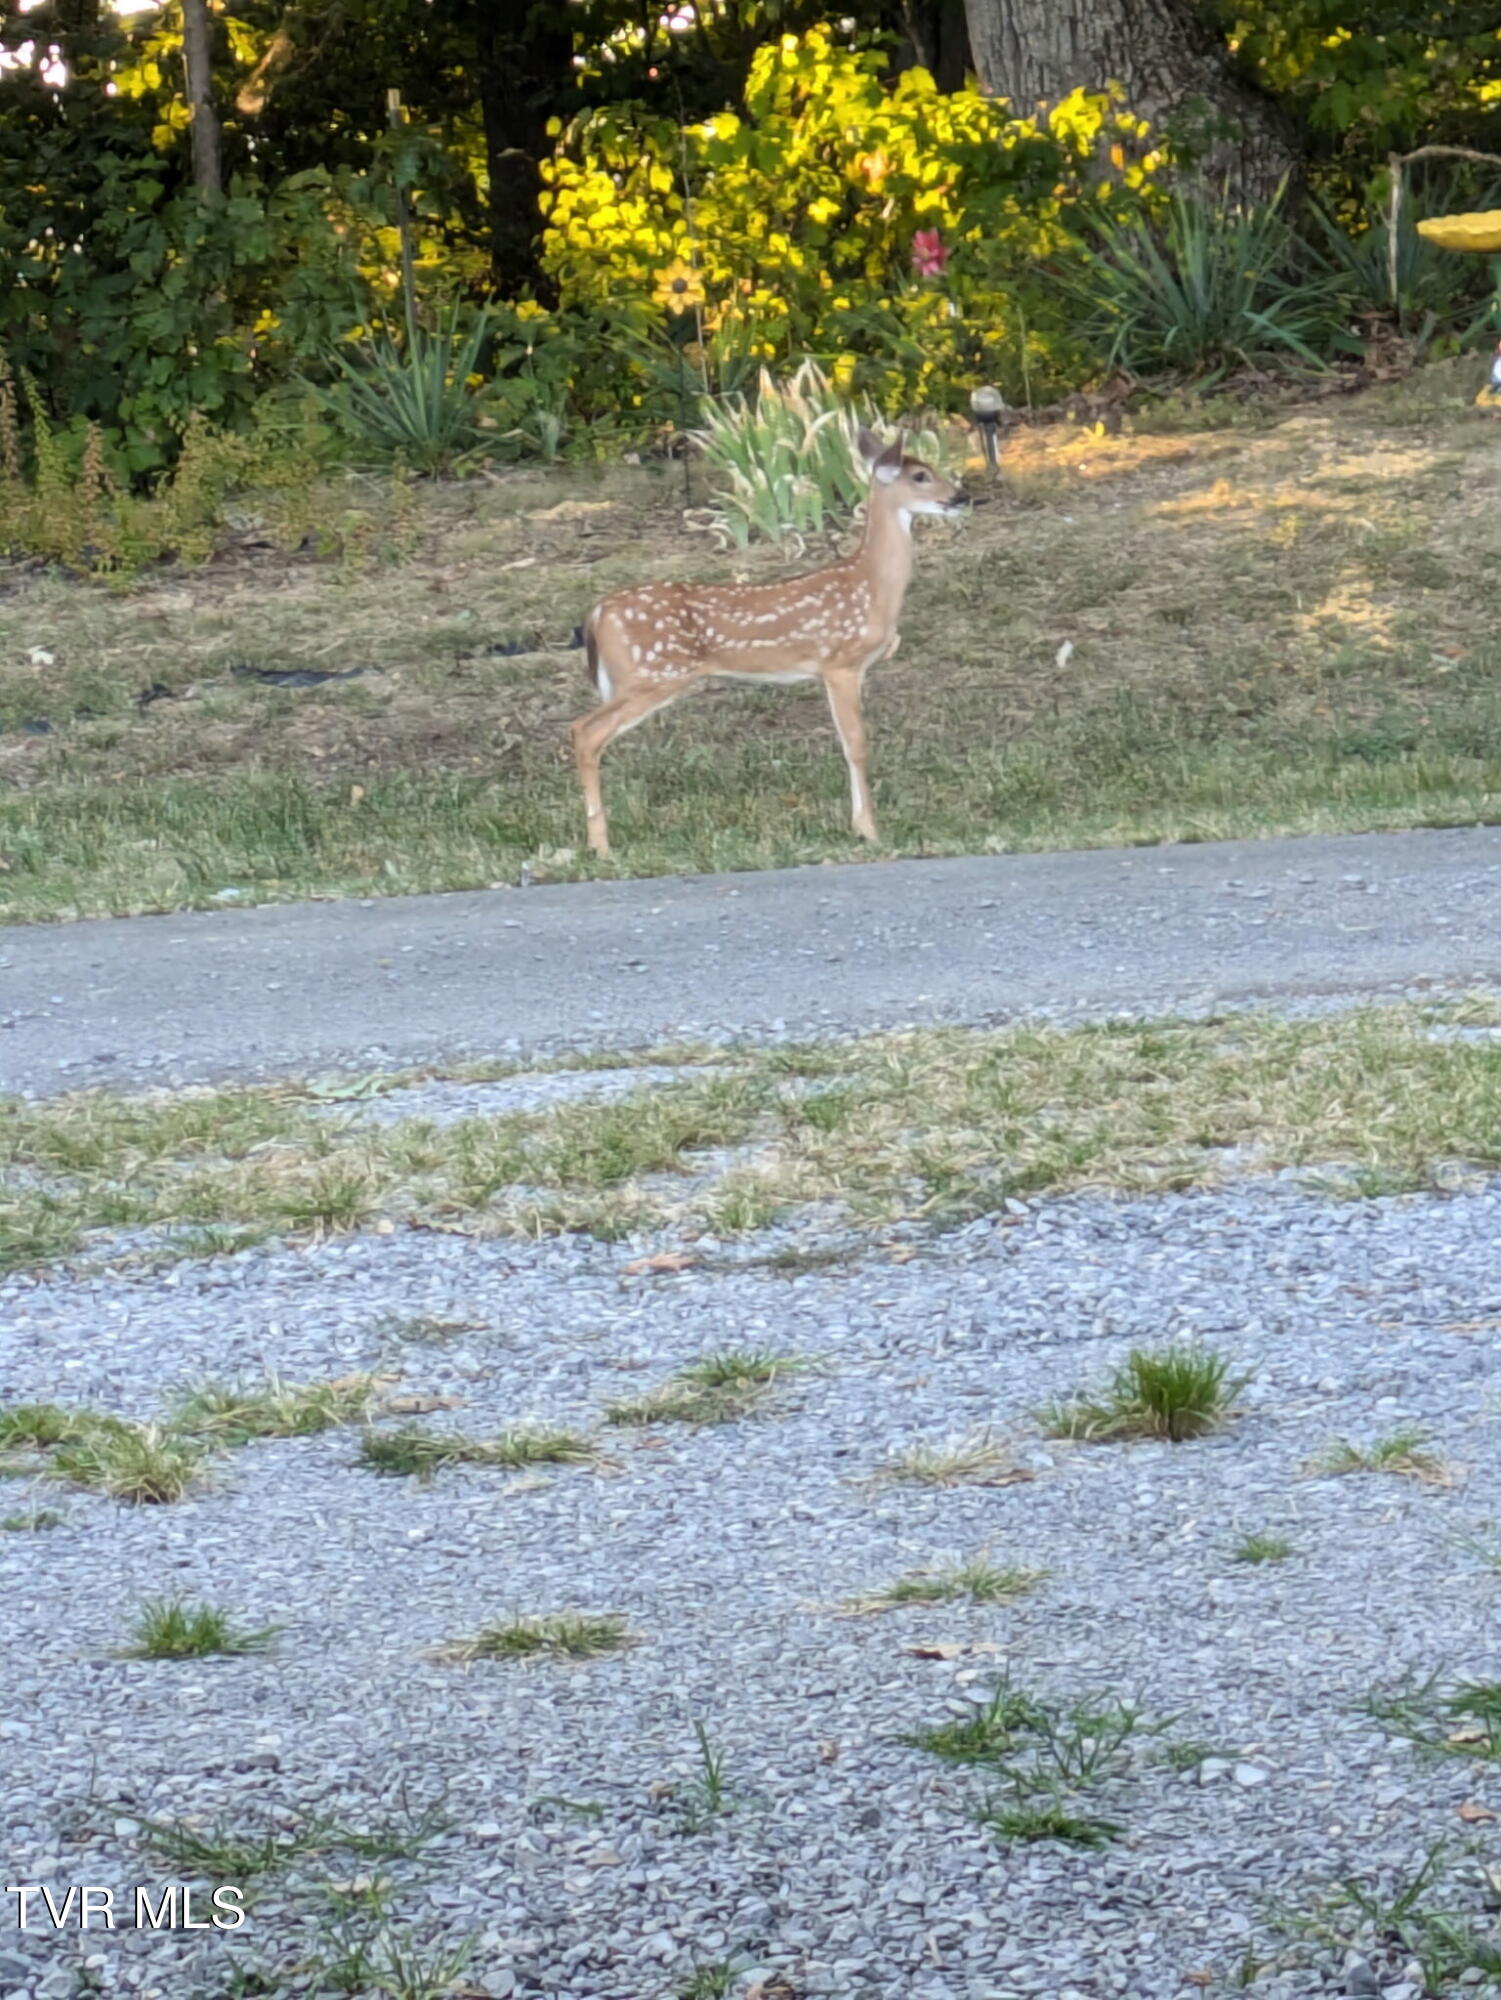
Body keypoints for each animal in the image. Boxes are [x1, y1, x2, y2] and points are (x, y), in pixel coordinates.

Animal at [570, 430, 968, 856]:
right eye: (921, 475)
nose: (962, 497)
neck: (871, 585)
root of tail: (597, 614)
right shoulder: (840, 662)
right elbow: (856, 745)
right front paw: (868, 830)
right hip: (652, 673)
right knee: (585, 731)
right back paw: (601, 846)